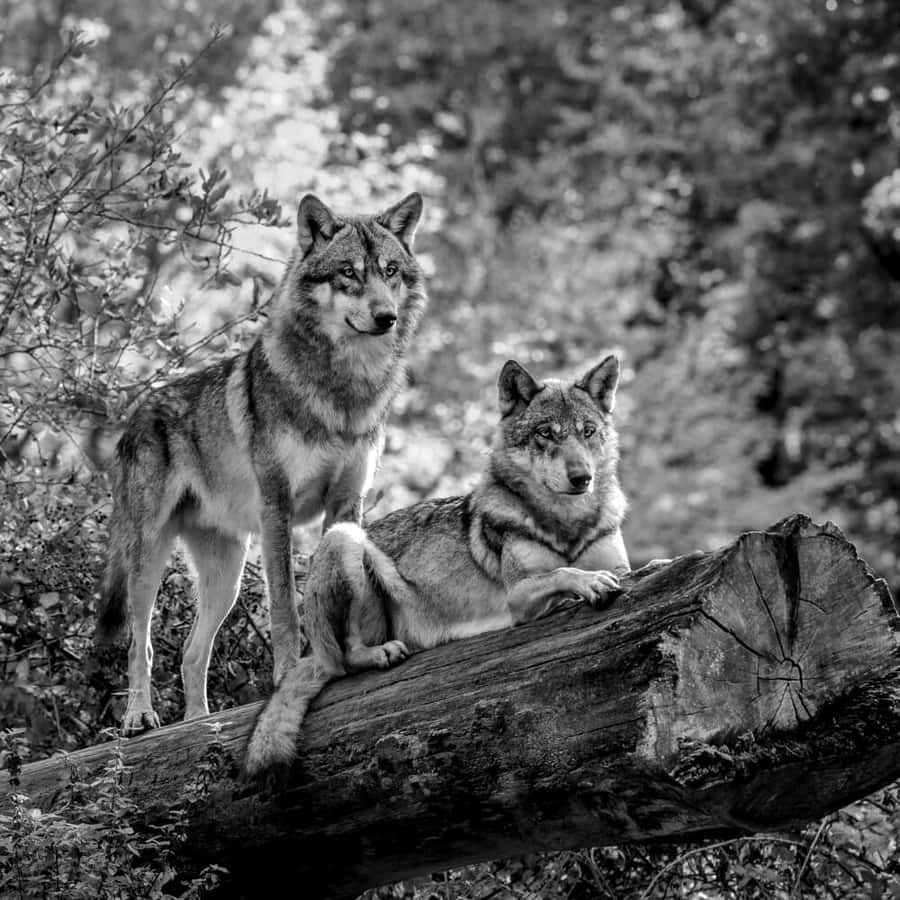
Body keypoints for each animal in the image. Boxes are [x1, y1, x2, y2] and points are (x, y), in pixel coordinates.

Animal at [96, 191, 427, 734]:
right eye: (348, 273)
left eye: (390, 270)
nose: (386, 317)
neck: (343, 391)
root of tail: (136, 413)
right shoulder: (278, 508)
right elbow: (285, 610)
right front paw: (289, 675)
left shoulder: (346, 506)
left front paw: (361, 655)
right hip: (147, 560)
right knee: (139, 644)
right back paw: (139, 716)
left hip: (226, 578)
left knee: (190, 654)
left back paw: (199, 722)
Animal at [245, 354, 630, 775]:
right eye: (546, 433)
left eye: (588, 431)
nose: (582, 477)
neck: (567, 523)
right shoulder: (518, 597)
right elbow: (563, 572)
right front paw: (589, 583)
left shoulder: (623, 567)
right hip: (343, 538)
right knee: (345, 659)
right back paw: (379, 653)